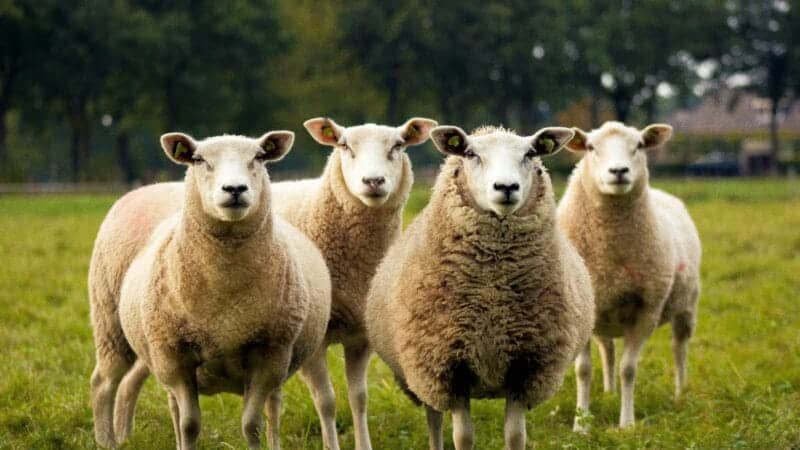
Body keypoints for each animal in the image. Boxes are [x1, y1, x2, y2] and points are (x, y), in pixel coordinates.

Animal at [90, 131, 332, 450]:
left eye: (258, 157)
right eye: (198, 159)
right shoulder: (175, 357)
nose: (235, 189)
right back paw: (106, 441)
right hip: (111, 323)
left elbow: (252, 424)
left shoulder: (270, 356)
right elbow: (190, 424)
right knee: (104, 383)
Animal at [269, 117, 437, 450]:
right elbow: (326, 402)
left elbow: (359, 398)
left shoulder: (362, 336)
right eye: (344, 145)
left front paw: (363, 444)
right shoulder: (315, 339)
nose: (373, 181)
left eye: (398, 145)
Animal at [365, 125, 595, 450]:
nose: (506, 187)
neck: (492, 294)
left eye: (530, 154)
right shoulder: (448, 367)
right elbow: (463, 437)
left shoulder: (526, 367)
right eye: (471, 153)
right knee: (434, 420)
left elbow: (515, 435)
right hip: (422, 374)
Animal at [557, 121, 701, 430]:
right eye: (590, 147)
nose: (619, 171)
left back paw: (680, 393)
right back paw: (609, 393)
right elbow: (584, 370)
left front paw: (627, 424)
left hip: (686, 306)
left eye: (639, 145)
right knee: (608, 349)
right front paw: (581, 424)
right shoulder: (580, 311)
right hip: (602, 315)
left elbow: (629, 369)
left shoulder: (647, 311)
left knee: (679, 348)